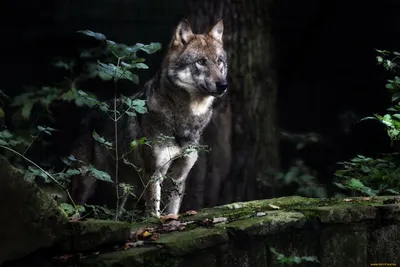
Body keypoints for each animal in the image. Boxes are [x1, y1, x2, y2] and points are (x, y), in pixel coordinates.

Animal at [69, 18, 228, 217]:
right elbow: (154, 212)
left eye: (219, 61)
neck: (185, 119)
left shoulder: (178, 178)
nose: (223, 85)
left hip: (120, 191)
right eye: (201, 62)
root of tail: (89, 114)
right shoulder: (154, 174)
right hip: (86, 185)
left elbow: (172, 213)